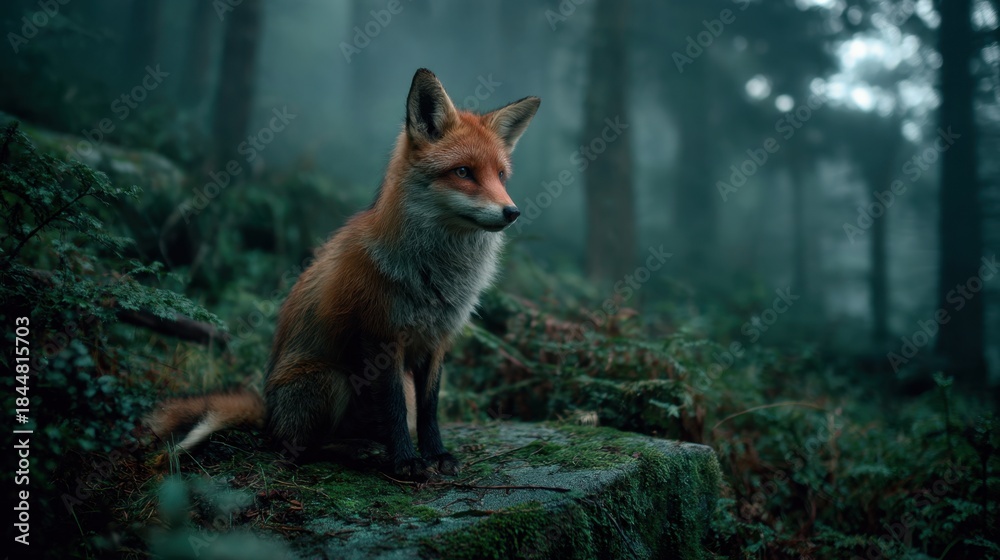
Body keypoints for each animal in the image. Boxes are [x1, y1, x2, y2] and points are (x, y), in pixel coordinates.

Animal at [146, 69, 540, 479]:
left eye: (500, 176)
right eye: (463, 172)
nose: (512, 212)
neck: (435, 276)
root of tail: (268, 414)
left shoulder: (437, 341)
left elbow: (429, 409)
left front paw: (437, 455)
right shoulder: (381, 337)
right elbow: (394, 409)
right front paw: (406, 461)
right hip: (331, 381)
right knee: (295, 448)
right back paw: (356, 450)